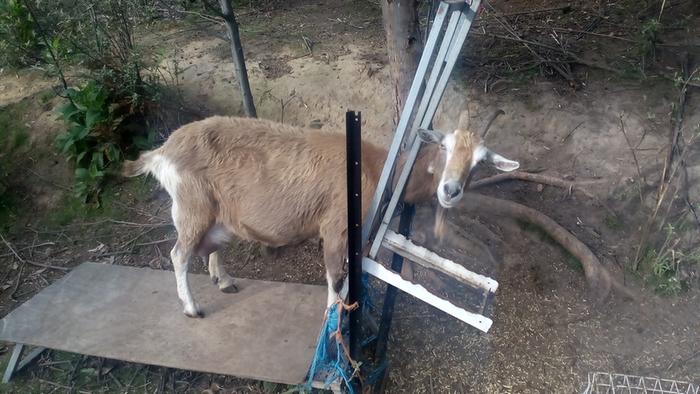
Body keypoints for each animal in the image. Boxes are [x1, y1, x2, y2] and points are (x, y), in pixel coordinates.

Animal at [123, 113, 520, 318]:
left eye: (480, 162)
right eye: (443, 146)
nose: (450, 191)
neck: (378, 168)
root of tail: (162, 151)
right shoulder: (336, 226)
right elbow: (334, 277)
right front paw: (334, 322)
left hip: (219, 210)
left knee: (212, 244)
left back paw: (224, 281)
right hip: (192, 206)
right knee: (179, 253)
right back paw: (192, 307)